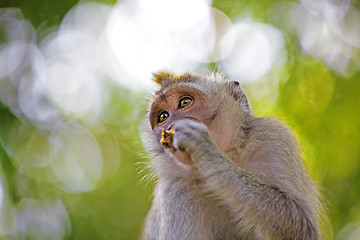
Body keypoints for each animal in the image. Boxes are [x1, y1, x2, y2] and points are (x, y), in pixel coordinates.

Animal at [139, 71, 322, 240]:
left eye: (184, 102)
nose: (170, 126)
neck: (232, 154)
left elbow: (301, 225)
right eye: (163, 116)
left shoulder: (274, 137)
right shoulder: (175, 189)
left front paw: (205, 148)